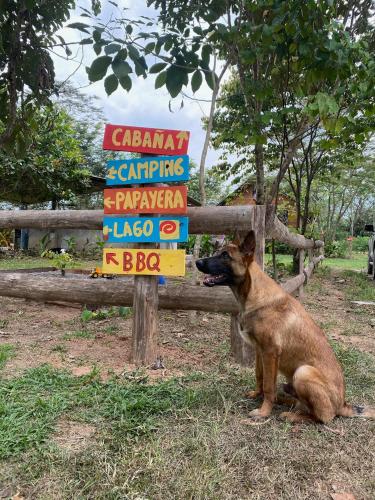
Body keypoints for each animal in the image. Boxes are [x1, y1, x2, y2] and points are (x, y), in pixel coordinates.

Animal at [195, 230, 374, 422]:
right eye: (218, 251)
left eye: (225, 256)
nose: (197, 262)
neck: (255, 295)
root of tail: (343, 404)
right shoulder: (260, 351)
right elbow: (260, 376)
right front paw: (257, 395)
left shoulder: (270, 352)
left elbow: (268, 386)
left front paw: (264, 411)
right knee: (298, 401)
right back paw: (284, 400)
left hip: (303, 372)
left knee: (322, 416)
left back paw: (291, 415)